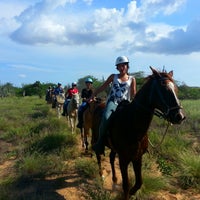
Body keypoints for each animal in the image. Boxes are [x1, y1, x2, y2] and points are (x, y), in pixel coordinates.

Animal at [92, 67, 186, 200]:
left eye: (176, 89)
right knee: (98, 155)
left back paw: (114, 180)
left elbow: (139, 183)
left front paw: (132, 192)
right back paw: (101, 175)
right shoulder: (123, 159)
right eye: (164, 88)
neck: (132, 125)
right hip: (96, 139)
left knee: (111, 157)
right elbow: (126, 185)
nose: (180, 116)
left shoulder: (138, 157)